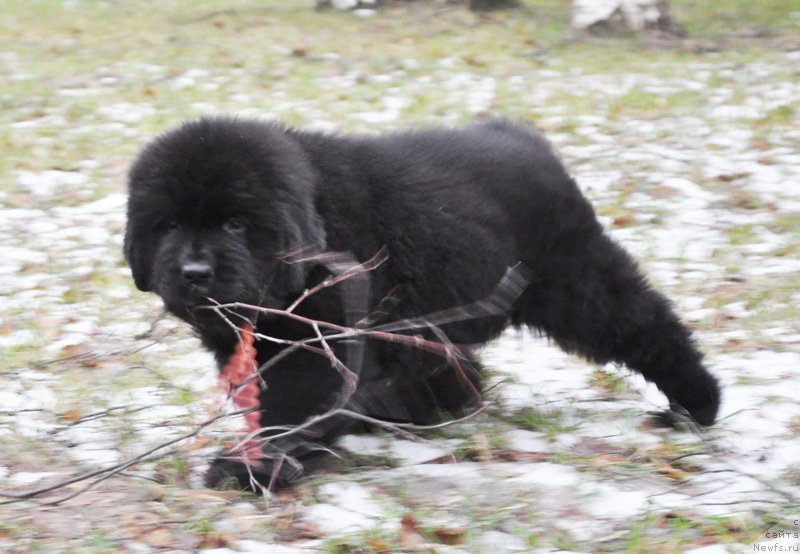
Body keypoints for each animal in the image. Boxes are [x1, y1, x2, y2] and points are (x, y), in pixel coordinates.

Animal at [126, 116, 724, 488]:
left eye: (234, 223)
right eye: (170, 225)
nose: (194, 272)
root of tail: (521, 138)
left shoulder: (323, 340)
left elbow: (292, 402)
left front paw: (254, 468)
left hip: (574, 282)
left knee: (641, 321)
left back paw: (697, 402)